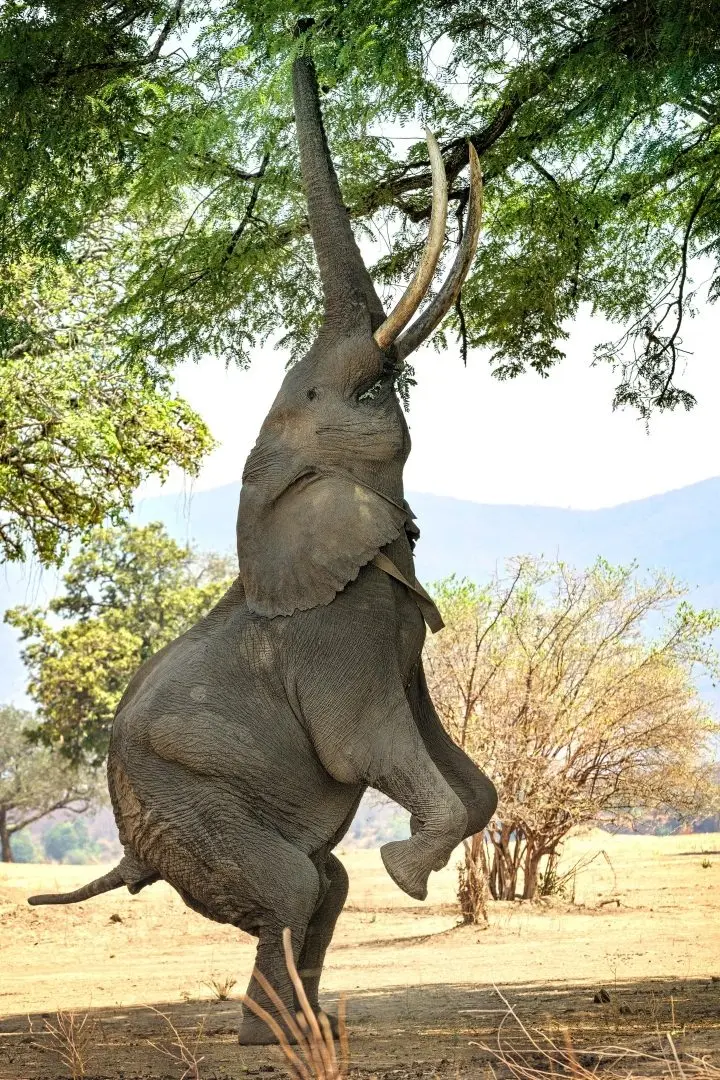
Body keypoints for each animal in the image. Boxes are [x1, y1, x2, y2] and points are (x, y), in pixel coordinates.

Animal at [28, 49, 497, 1045]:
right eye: (332, 393)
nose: (306, 37)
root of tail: (131, 850)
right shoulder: (337, 637)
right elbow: (365, 746)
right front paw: (410, 872)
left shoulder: (390, 625)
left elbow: (461, 771)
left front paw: (416, 859)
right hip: (186, 801)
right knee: (291, 887)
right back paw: (288, 1038)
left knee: (322, 883)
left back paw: (297, 1033)